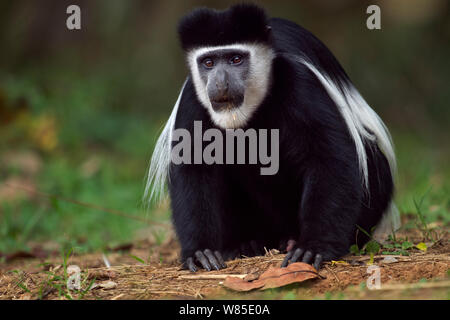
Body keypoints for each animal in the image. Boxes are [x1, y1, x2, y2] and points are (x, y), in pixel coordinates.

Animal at [146, 3, 400, 272]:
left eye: (236, 59)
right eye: (208, 62)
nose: (221, 83)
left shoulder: (300, 82)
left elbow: (330, 158)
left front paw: (313, 248)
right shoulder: (193, 99)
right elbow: (194, 170)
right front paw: (200, 253)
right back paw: (243, 245)